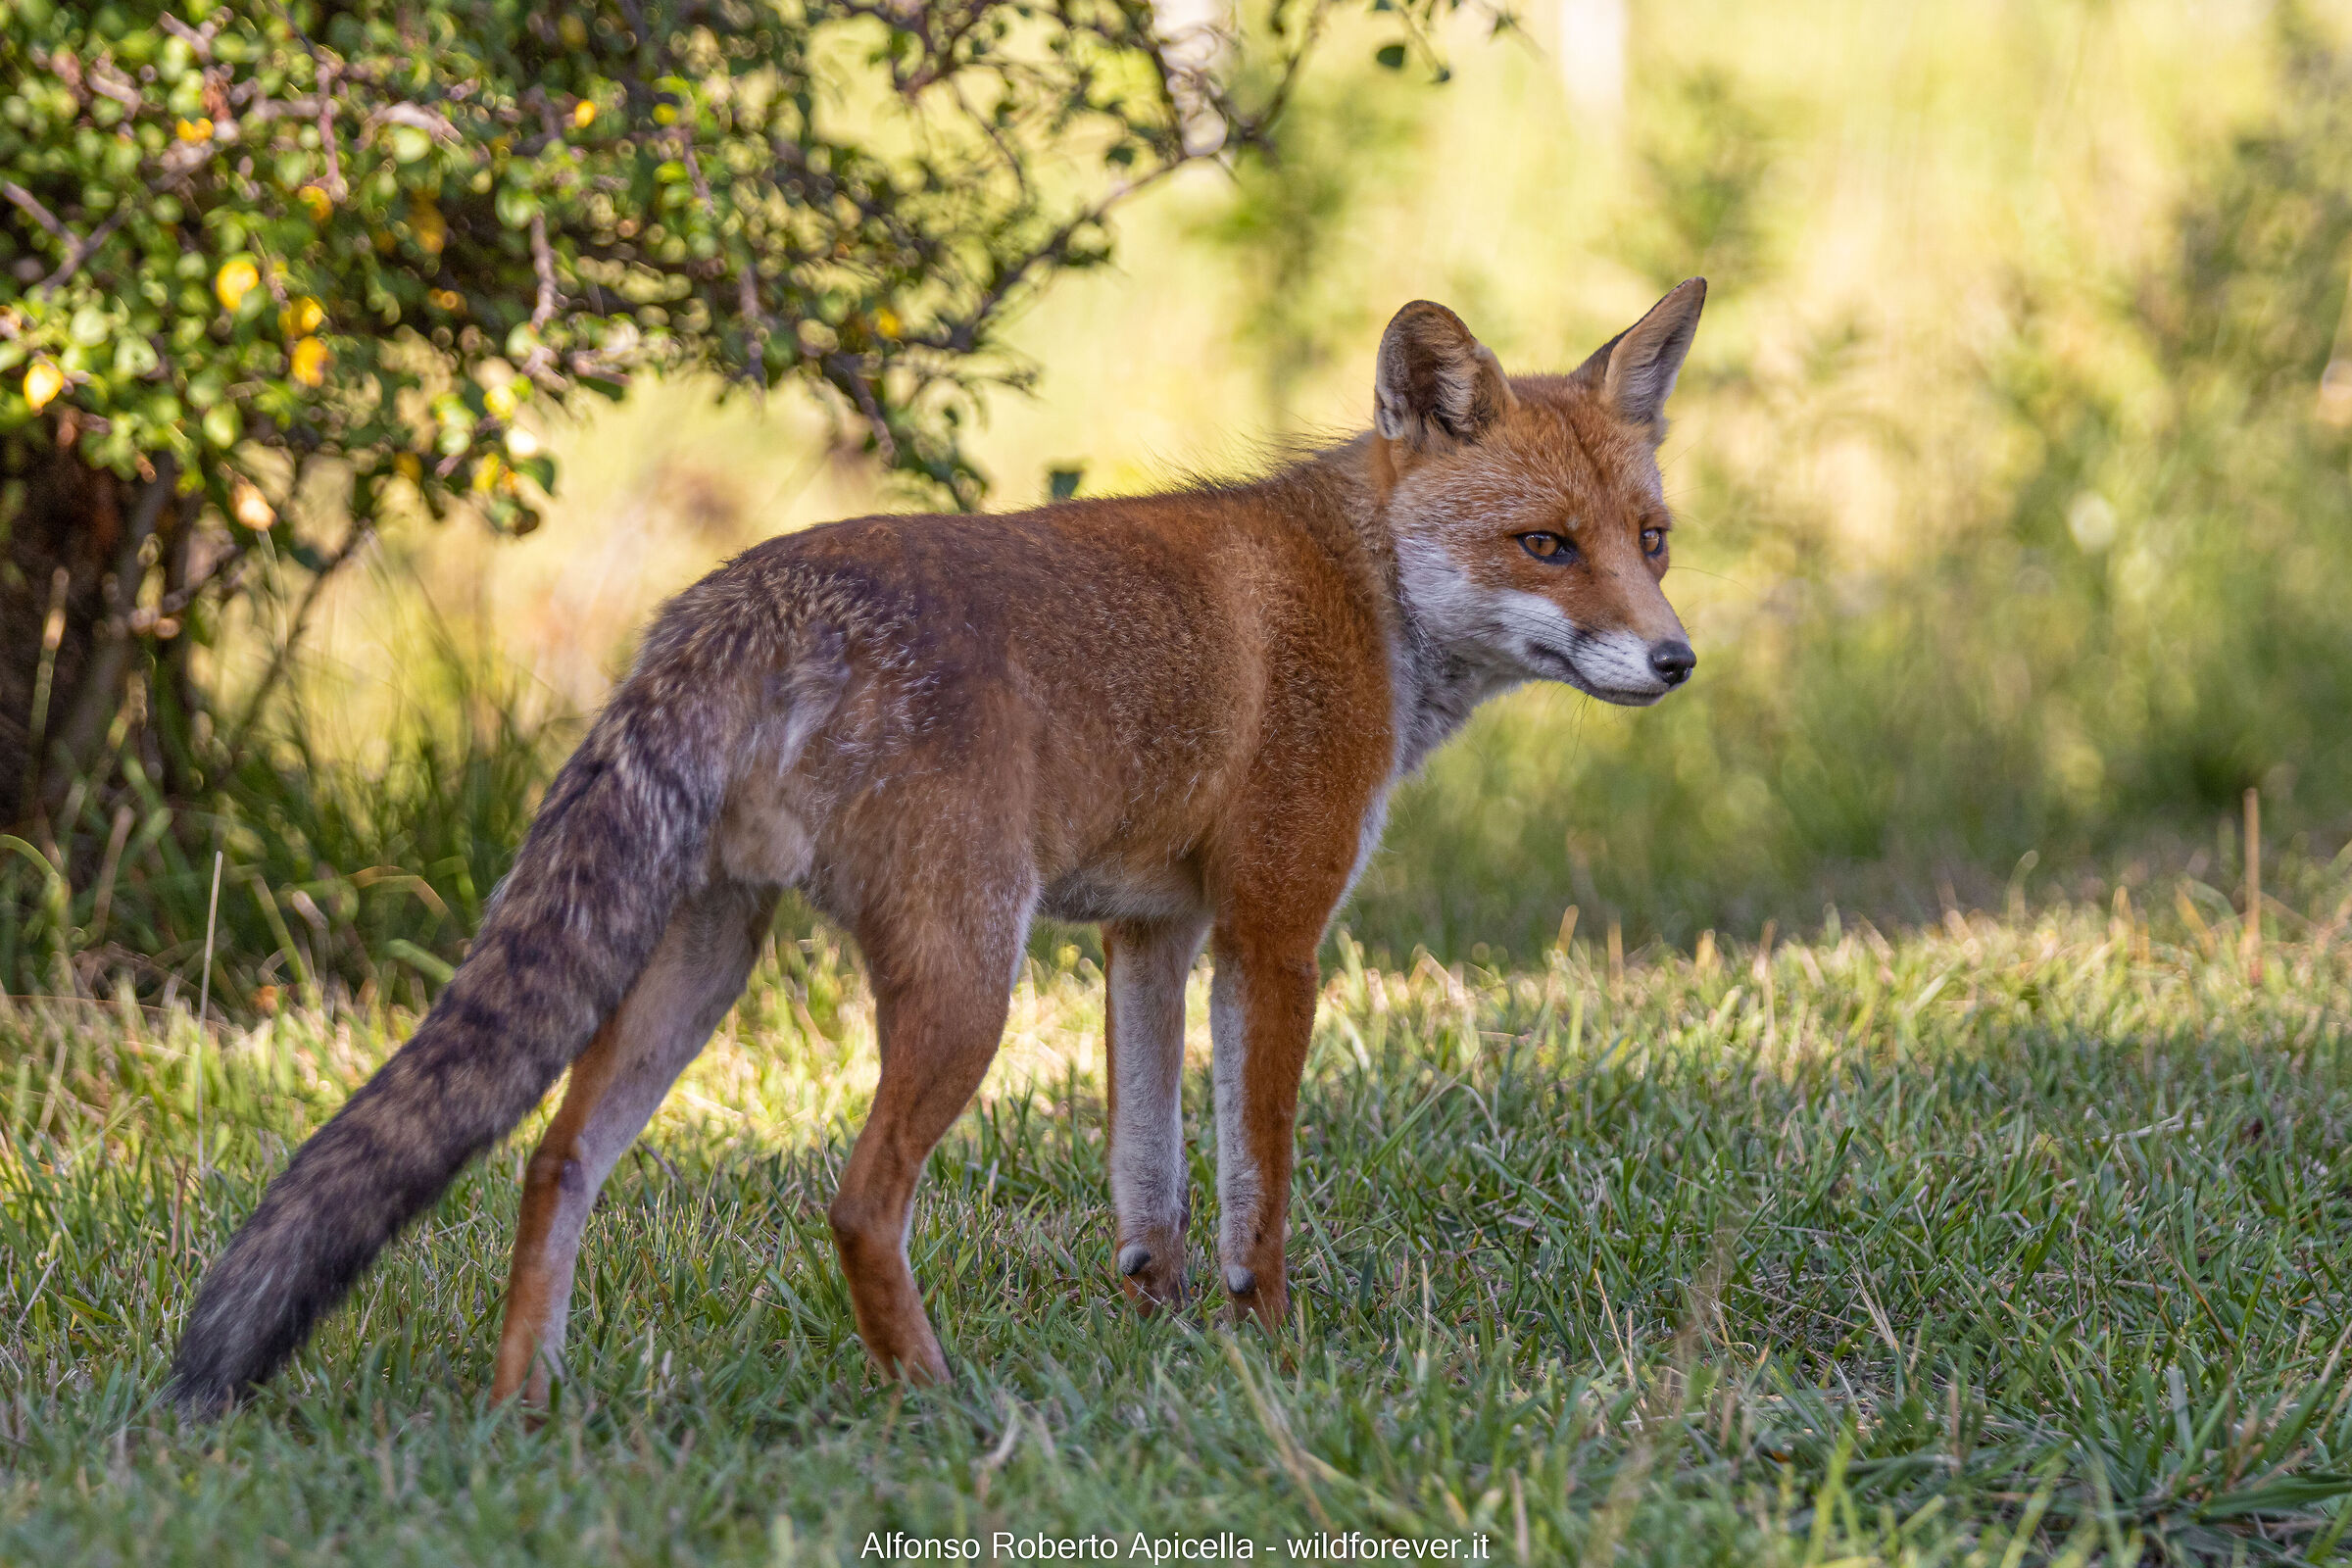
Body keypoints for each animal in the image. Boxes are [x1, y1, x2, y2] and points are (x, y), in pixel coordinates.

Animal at [168, 280, 1707, 1412]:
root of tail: (742, 600)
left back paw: (521, 1413)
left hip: (705, 959)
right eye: (1545, 545)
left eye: (1650, 539)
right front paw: (1266, 1345)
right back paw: (936, 1398)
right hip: (968, 979)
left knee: (554, 1162)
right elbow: (1254, 1186)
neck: (1364, 587)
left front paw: (1158, 1329)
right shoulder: (1274, 930)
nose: (1677, 661)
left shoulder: (1150, 929)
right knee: (856, 1204)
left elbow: (1148, 1176)